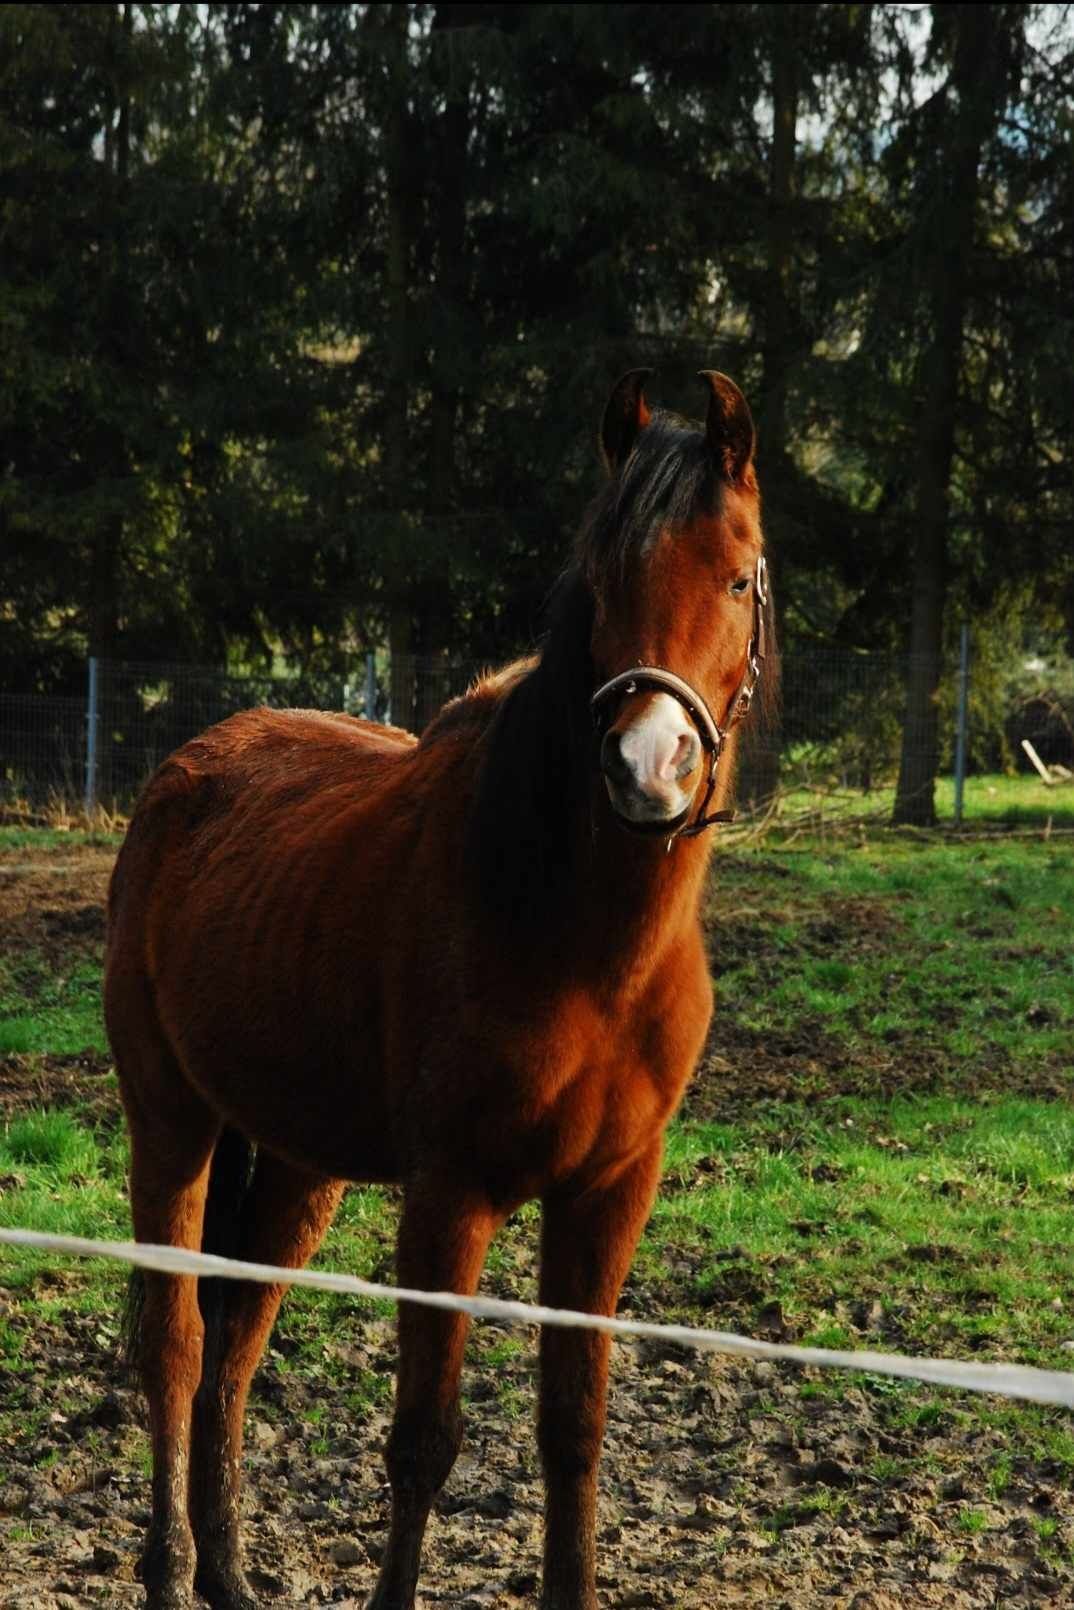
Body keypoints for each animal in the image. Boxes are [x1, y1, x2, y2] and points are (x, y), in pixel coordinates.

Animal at [109, 370, 776, 1603]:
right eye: (602, 579)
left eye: (740, 575)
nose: (645, 767)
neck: (571, 933)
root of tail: (186, 771)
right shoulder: (450, 1194)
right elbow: (425, 1436)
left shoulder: (610, 1192)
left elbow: (573, 1428)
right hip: (171, 1118)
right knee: (175, 1343)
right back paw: (173, 1571)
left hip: (300, 1165)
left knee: (238, 1339)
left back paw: (228, 1573)